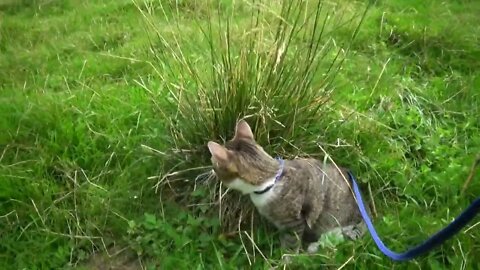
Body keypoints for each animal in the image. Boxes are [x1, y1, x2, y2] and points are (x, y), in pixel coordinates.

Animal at [207, 119, 368, 252]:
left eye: (214, 162)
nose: (211, 170)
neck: (271, 181)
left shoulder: (294, 222)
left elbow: (291, 243)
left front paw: (285, 260)